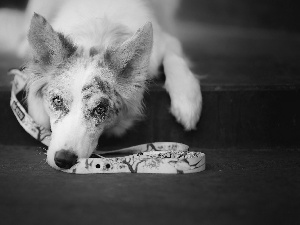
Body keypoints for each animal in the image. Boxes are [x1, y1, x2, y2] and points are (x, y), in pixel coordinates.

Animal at [0, 0, 202, 169]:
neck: (97, 36)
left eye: (100, 109)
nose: (64, 160)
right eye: (57, 101)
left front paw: (187, 102)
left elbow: (175, 58)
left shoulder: (166, 41)